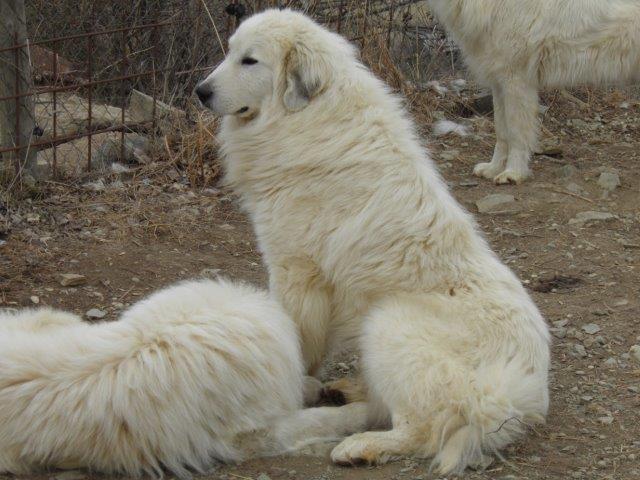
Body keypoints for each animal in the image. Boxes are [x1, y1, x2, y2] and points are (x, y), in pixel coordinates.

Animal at [196, 9, 552, 474]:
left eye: (250, 61)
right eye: (230, 52)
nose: (200, 91)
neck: (309, 116)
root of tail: (520, 387)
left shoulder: (295, 270)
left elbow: (296, 336)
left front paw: (298, 384)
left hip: (387, 323)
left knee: (424, 428)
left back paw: (360, 446)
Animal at [424, 0, 640, 184]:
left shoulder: (516, 82)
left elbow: (516, 134)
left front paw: (513, 173)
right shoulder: (499, 84)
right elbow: (501, 133)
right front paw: (493, 169)